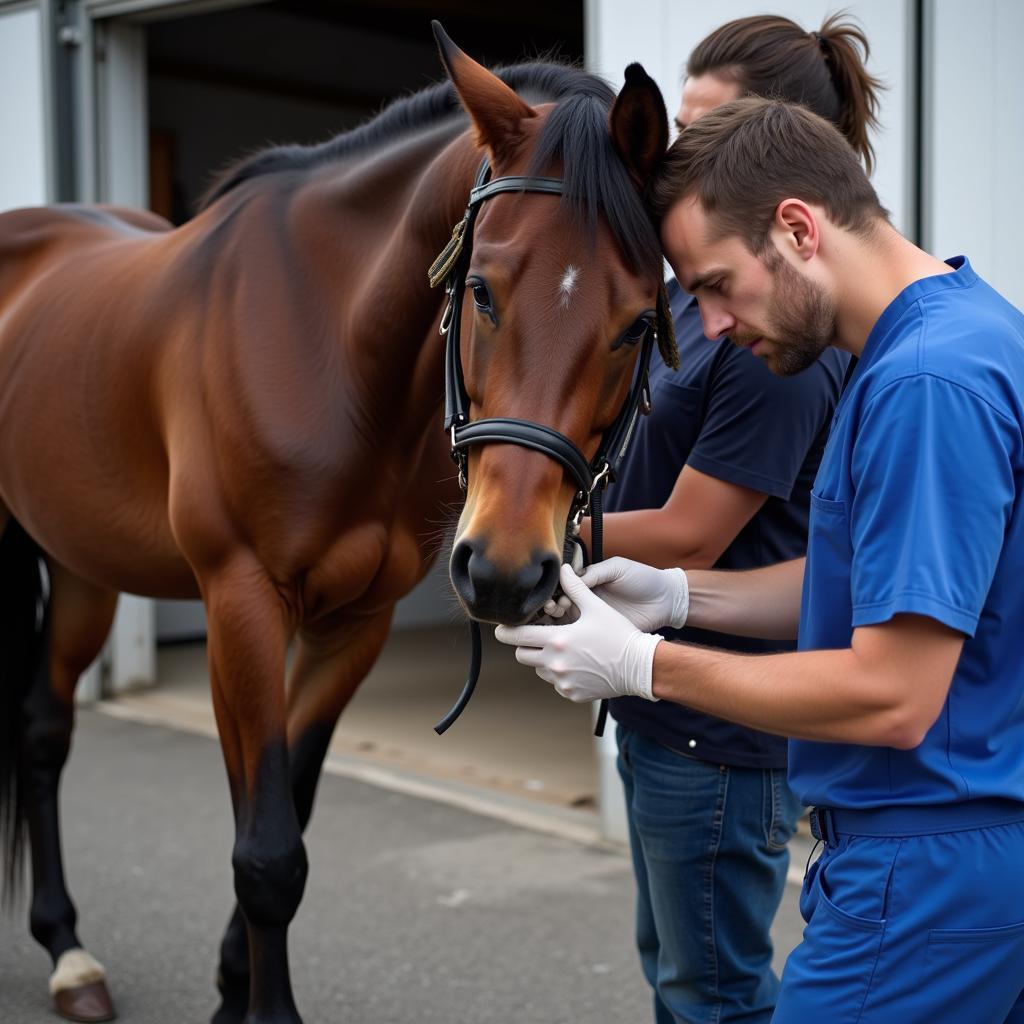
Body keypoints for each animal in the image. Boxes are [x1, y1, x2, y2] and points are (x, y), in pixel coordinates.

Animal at [0, 24, 675, 1024]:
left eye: (635, 323)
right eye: (481, 288)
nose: (504, 572)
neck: (327, 343)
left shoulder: (354, 624)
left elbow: (292, 817)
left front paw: (231, 988)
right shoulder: (241, 604)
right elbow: (267, 851)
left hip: (82, 561)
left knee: (44, 730)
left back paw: (69, 953)